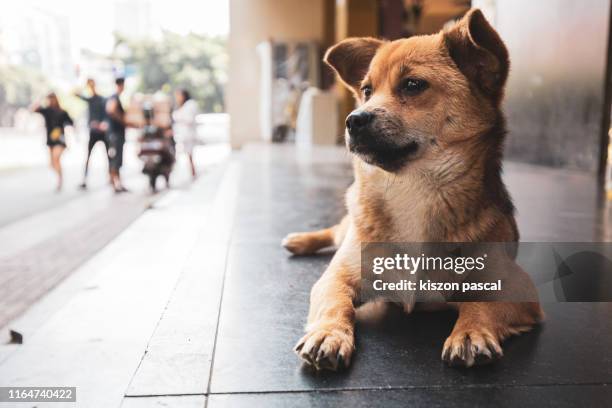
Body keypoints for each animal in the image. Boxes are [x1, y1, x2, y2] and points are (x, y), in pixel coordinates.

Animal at [284, 7, 544, 372]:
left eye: (412, 85)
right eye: (366, 90)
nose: (353, 119)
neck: (412, 188)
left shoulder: (518, 289)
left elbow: (479, 305)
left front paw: (471, 332)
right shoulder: (336, 278)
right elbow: (336, 303)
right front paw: (328, 334)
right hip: (347, 228)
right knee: (336, 230)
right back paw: (299, 240)